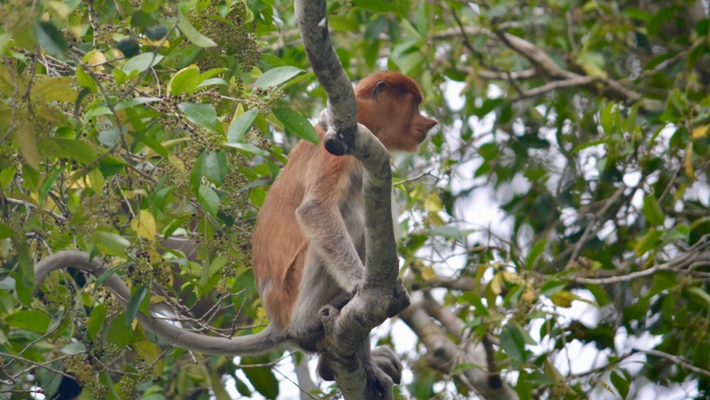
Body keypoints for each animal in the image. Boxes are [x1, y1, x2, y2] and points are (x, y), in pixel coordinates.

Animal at [34, 70, 436, 394]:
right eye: (414, 104)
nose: (429, 122)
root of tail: (277, 320)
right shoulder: (337, 148)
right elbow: (316, 210)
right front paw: (357, 286)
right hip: (292, 292)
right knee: (349, 214)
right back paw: (313, 326)